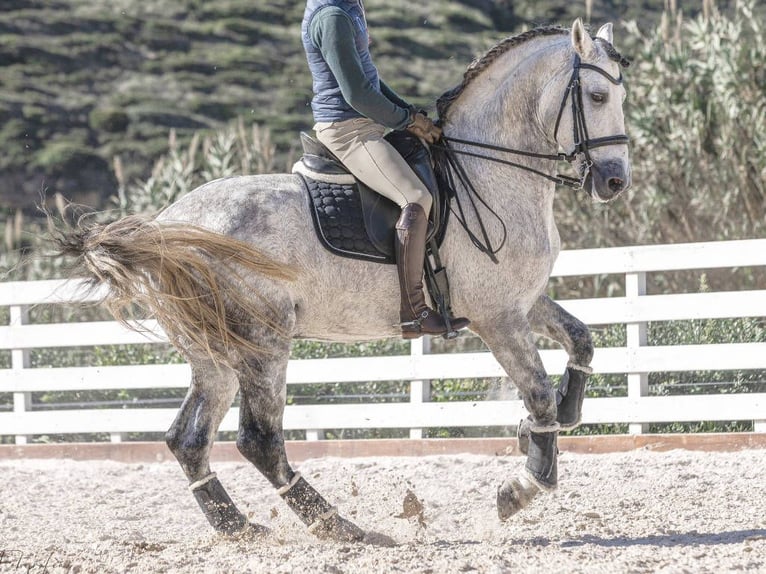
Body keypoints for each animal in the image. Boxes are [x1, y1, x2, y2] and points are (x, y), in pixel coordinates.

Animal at [60, 21, 632, 544]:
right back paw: (339, 527)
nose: (613, 182)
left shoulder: (523, 301)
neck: (490, 171)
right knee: (259, 440)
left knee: (188, 439)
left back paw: (238, 528)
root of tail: (164, 226)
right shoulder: (498, 317)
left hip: (213, 353)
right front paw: (522, 486)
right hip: (263, 343)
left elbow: (581, 340)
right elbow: (537, 393)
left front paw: (562, 415)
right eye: (598, 95)